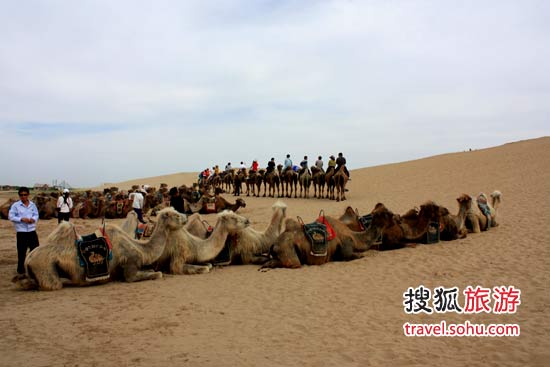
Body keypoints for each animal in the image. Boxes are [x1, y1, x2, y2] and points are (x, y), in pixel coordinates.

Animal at [12, 208, 188, 292]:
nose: (186, 216)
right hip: (45, 267)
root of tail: (28, 259)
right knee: (51, 284)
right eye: (176, 215)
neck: (140, 248)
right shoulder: (130, 265)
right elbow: (156, 274)